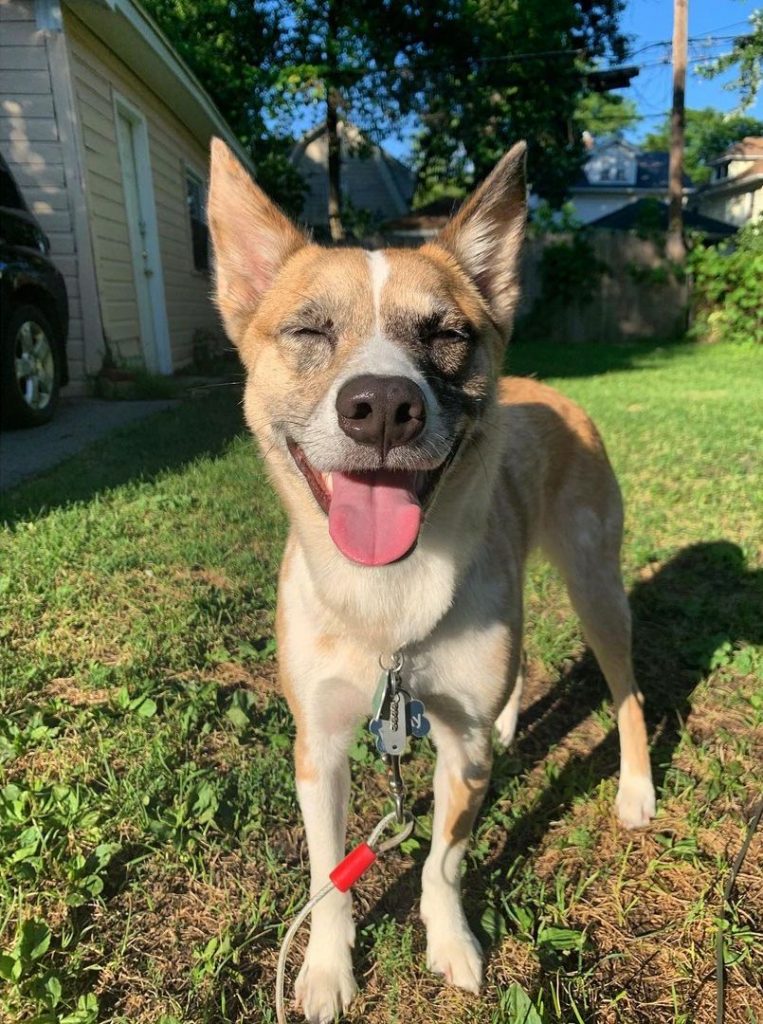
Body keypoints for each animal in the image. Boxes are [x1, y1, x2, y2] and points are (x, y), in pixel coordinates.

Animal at [207, 138, 655, 1024]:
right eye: (309, 328)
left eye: (447, 333)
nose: (381, 406)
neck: (388, 606)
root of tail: (549, 392)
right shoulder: (320, 743)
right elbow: (328, 876)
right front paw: (326, 971)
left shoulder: (460, 755)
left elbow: (441, 863)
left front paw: (451, 946)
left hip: (595, 585)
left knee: (626, 688)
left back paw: (634, 790)